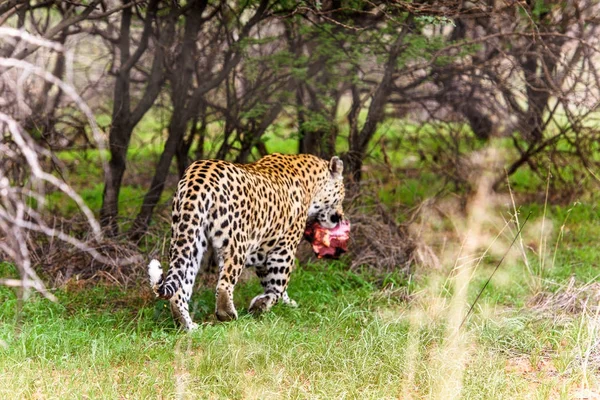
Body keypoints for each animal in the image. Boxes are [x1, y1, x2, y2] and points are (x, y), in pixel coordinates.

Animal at [146, 153, 346, 332]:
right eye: (342, 196)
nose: (339, 217)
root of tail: (198, 176)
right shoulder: (284, 249)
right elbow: (278, 285)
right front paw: (261, 305)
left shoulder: (264, 251)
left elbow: (274, 286)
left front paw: (285, 303)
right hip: (235, 243)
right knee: (224, 284)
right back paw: (227, 314)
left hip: (189, 239)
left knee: (179, 289)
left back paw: (188, 326)